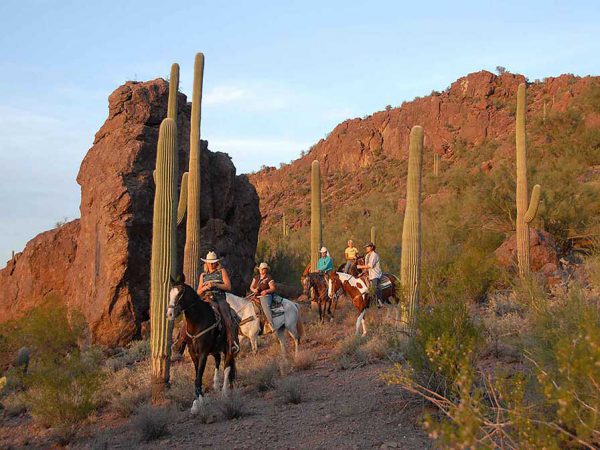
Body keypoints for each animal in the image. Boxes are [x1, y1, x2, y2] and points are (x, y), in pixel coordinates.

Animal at [169, 278, 237, 414]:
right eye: (170, 293)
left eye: (180, 293)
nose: (169, 314)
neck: (198, 321)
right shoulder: (193, 353)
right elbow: (197, 376)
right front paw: (197, 402)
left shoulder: (203, 353)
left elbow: (198, 377)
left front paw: (198, 403)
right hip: (216, 349)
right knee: (218, 360)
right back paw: (217, 384)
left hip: (228, 347)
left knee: (227, 365)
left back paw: (225, 393)